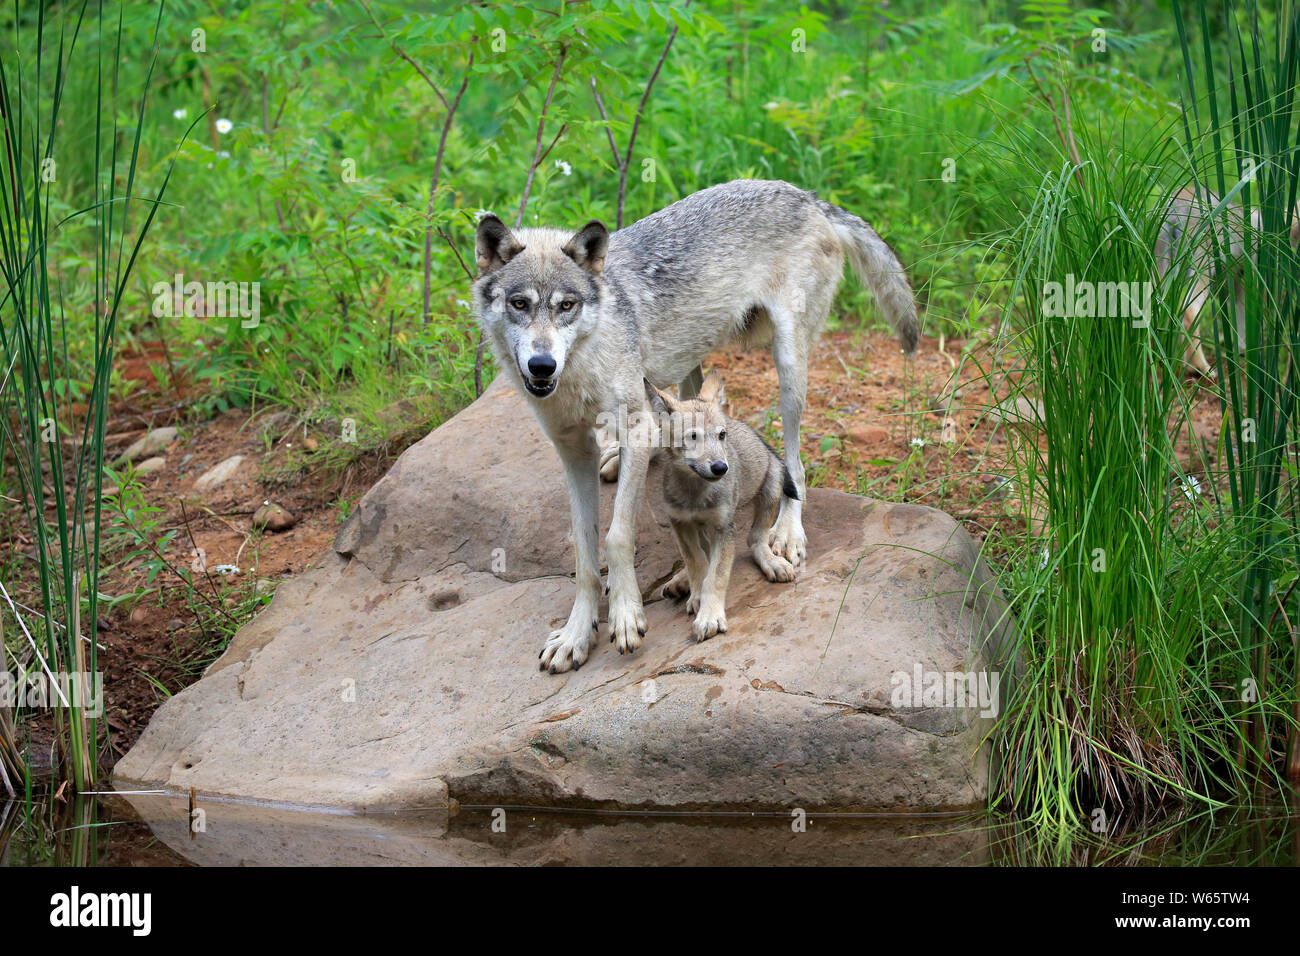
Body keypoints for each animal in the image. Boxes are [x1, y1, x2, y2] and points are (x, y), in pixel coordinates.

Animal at [644, 371, 795, 642]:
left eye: (721, 435)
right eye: (692, 436)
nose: (721, 468)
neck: (694, 492)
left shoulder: (724, 528)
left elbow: (716, 575)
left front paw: (710, 615)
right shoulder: (680, 523)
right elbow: (696, 562)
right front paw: (697, 594)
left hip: (771, 487)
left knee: (756, 539)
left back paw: (772, 562)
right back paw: (681, 580)